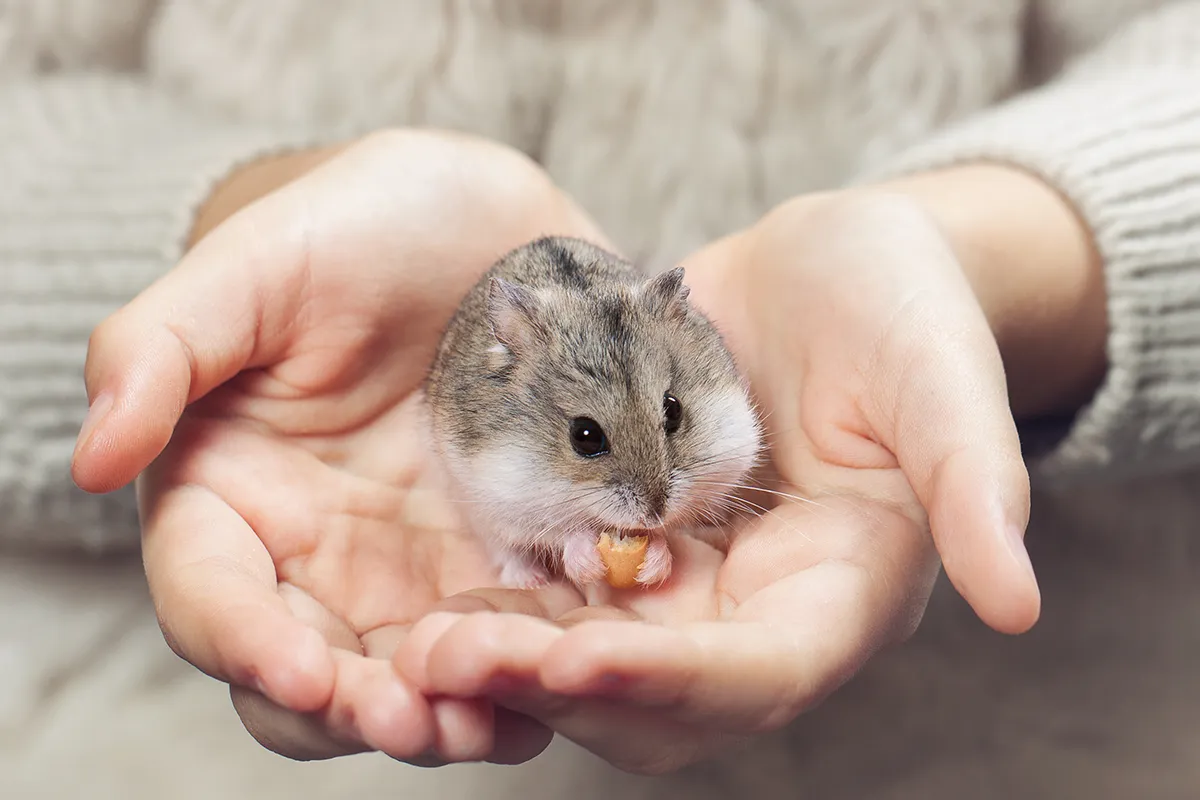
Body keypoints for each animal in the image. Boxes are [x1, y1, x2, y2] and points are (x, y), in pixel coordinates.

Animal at [425, 236, 762, 589]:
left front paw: (654, 560)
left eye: (673, 409)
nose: (654, 514)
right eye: (585, 436)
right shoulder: (502, 498)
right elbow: (560, 534)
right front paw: (585, 562)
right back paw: (530, 580)